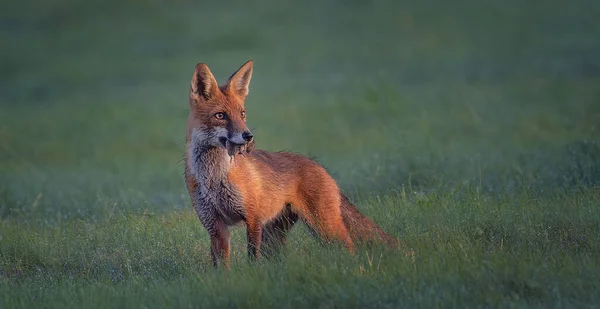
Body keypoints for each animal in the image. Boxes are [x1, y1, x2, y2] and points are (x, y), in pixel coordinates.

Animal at [183, 60, 398, 268]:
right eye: (220, 115)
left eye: (242, 114)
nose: (248, 136)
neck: (213, 177)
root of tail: (318, 164)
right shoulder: (215, 224)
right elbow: (221, 267)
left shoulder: (252, 217)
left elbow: (252, 258)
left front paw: (252, 275)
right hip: (274, 238)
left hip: (323, 227)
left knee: (349, 246)